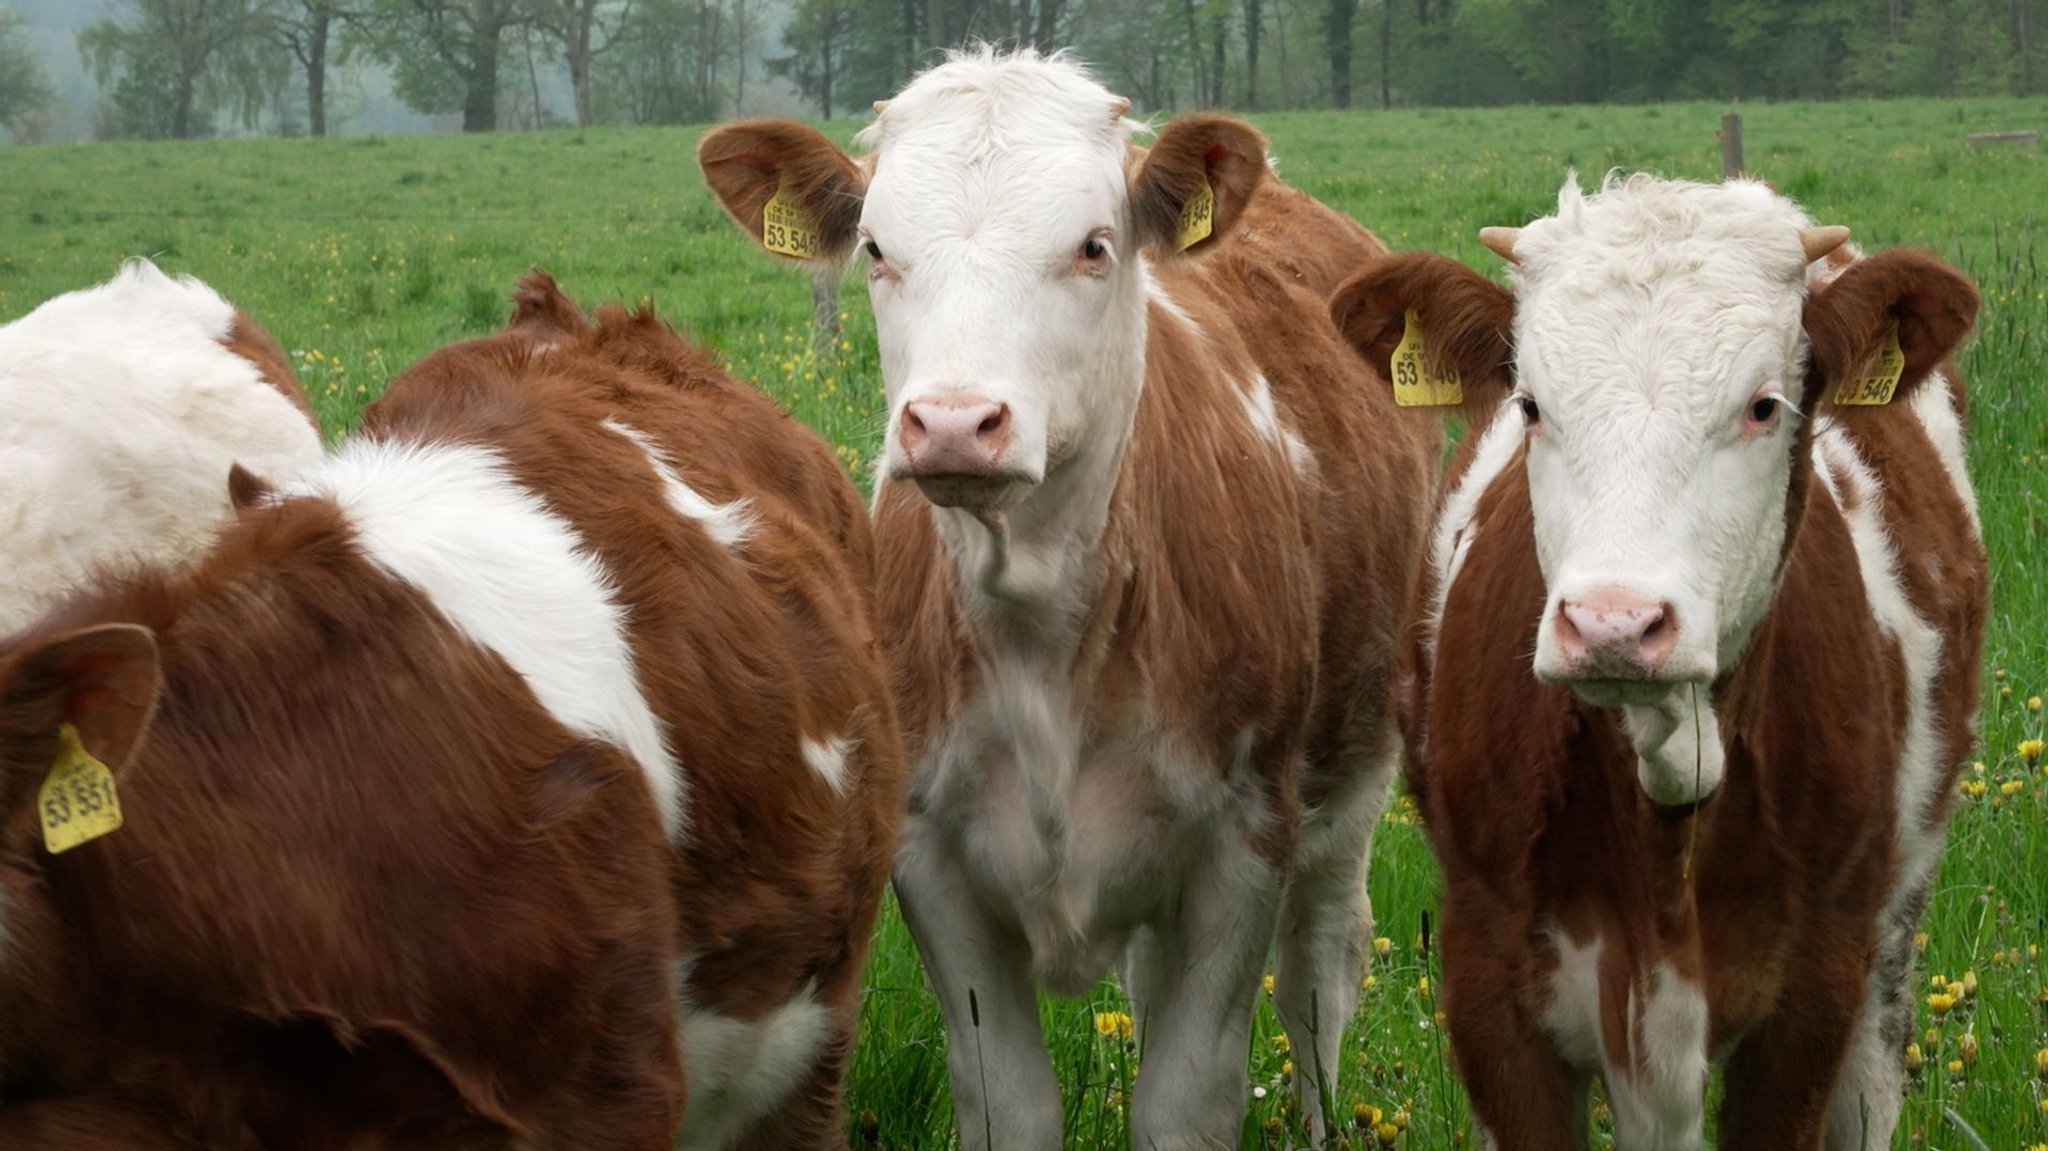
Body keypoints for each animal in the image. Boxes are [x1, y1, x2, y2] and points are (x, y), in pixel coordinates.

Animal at [696, 49, 1433, 1138]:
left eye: (1093, 246)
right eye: (874, 247)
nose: (954, 423)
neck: (1041, 620)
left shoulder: (1244, 846)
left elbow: (1183, 1104)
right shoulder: (932, 854)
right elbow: (1011, 1102)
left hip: (1355, 764)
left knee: (1320, 969)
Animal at [1327, 172, 1982, 1146]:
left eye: (1763, 406)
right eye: (1531, 405)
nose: (1614, 622)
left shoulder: (1813, 997)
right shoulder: (1490, 991)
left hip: (1891, 939)